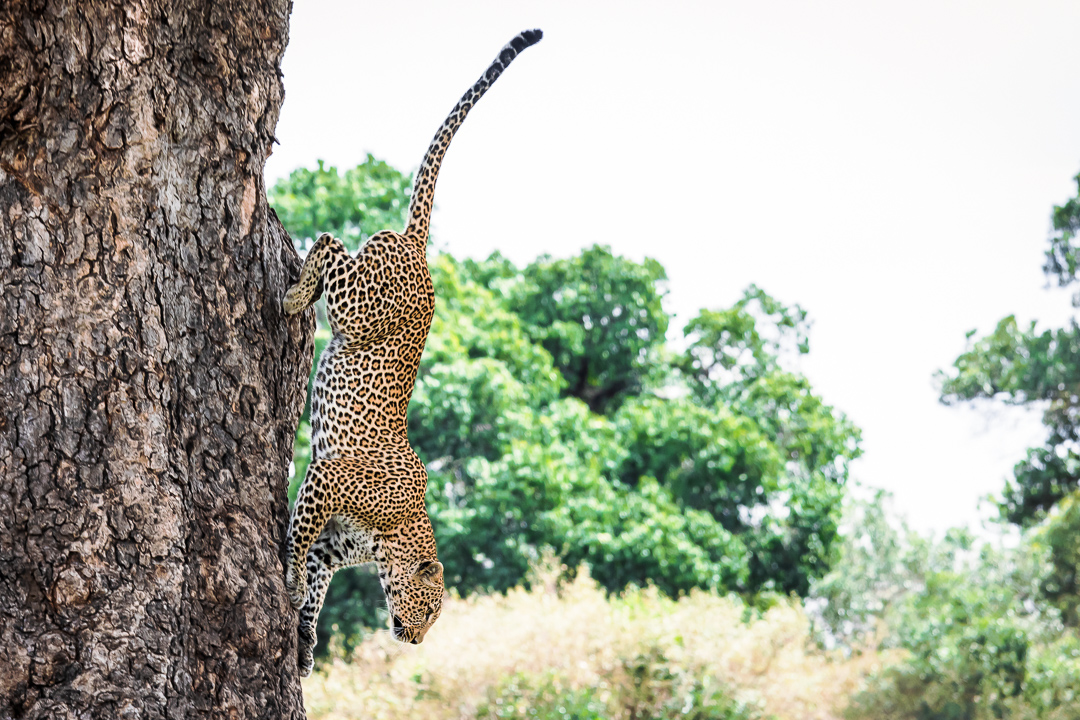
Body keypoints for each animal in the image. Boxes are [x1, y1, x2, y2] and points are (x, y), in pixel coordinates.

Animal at [282, 28, 544, 677]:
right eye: (428, 610)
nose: (417, 641)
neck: (394, 534)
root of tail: (421, 249)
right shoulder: (327, 476)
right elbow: (297, 543)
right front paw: (290, 585)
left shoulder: (333, 547)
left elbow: (316, 584)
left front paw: (305, 644)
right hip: (359, 301)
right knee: (328, 242)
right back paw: (294, 293)